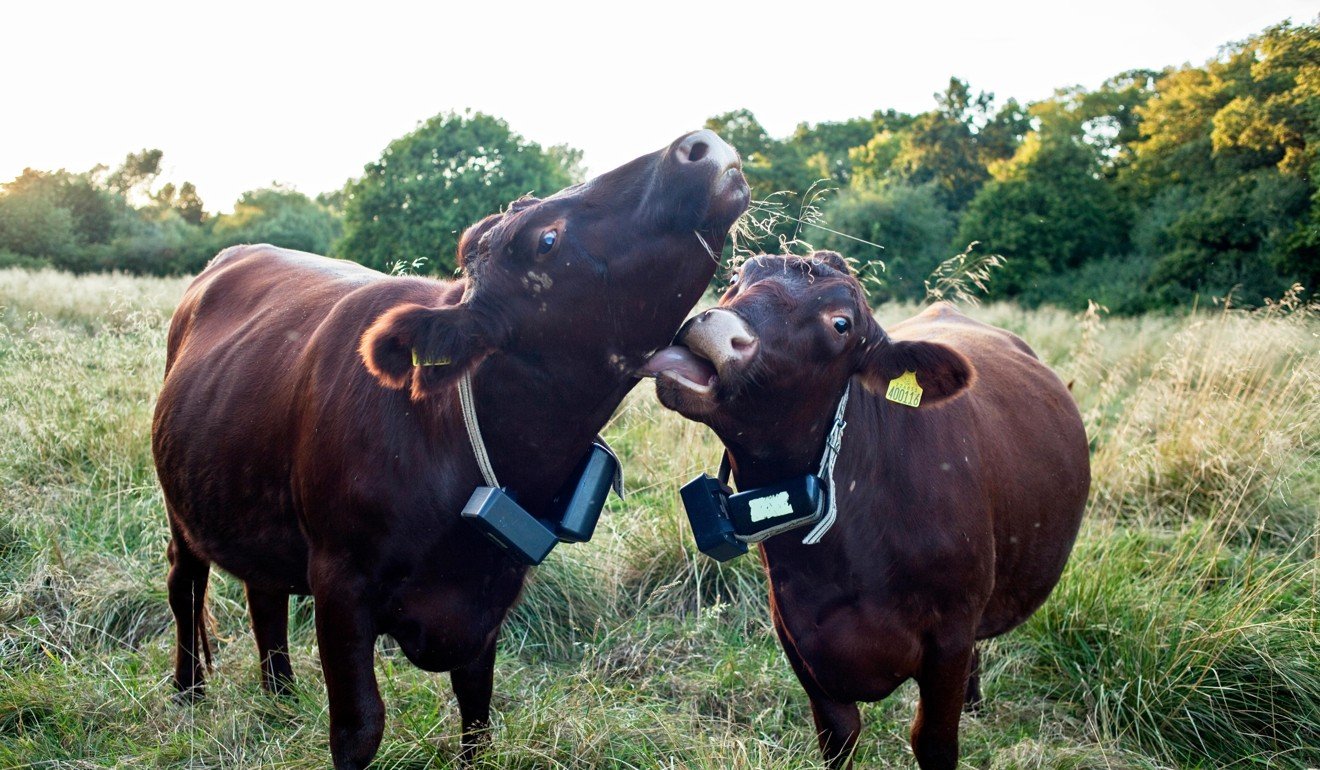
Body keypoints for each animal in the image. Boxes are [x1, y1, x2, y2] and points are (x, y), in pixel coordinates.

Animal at [149, 132, 749, 770]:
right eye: (547, 240)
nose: (700, 144)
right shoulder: (339, 583)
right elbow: (359, 727)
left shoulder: (489, 598)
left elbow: (478, 711)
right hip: (181, 505)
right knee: (186, 582)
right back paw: (189, 692)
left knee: (263, 593)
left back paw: (281, 697)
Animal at [644, 253, 1087, 770]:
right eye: (736, 276)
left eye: (840, 324)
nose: (716, 328)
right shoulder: (798, 637)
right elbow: (839, 736)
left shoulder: (950, 637)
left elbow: (934, 741)